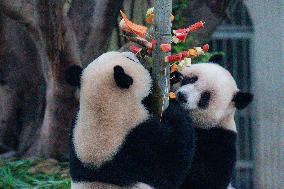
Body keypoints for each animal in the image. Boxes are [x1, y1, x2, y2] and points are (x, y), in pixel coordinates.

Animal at [65, 51, 196, 189]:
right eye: (130, 59)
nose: (131, 53)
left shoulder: (74, 134)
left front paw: (173, 75)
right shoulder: (140, 143)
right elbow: (173, 161)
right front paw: (173, 108)